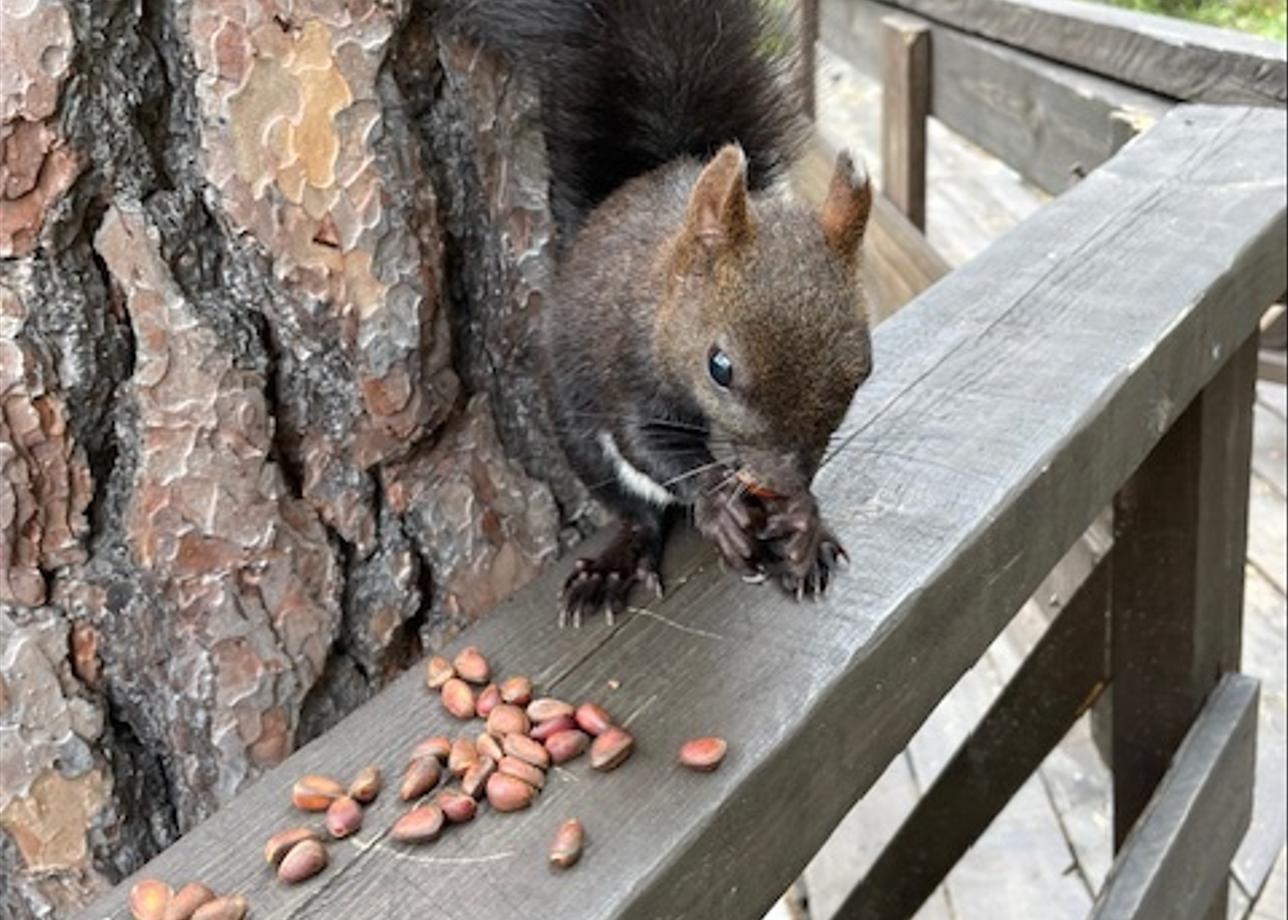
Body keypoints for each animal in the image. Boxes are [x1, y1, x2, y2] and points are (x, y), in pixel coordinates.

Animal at [435, 1, 875, 623]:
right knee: (634, 510)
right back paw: (616, 563)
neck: (664, 295)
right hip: (578, 438)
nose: (782, 482)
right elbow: (647, 445)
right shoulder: (625, 368)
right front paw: (717, 502)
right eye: (720, 368)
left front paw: (806, 519)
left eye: (862, 371)